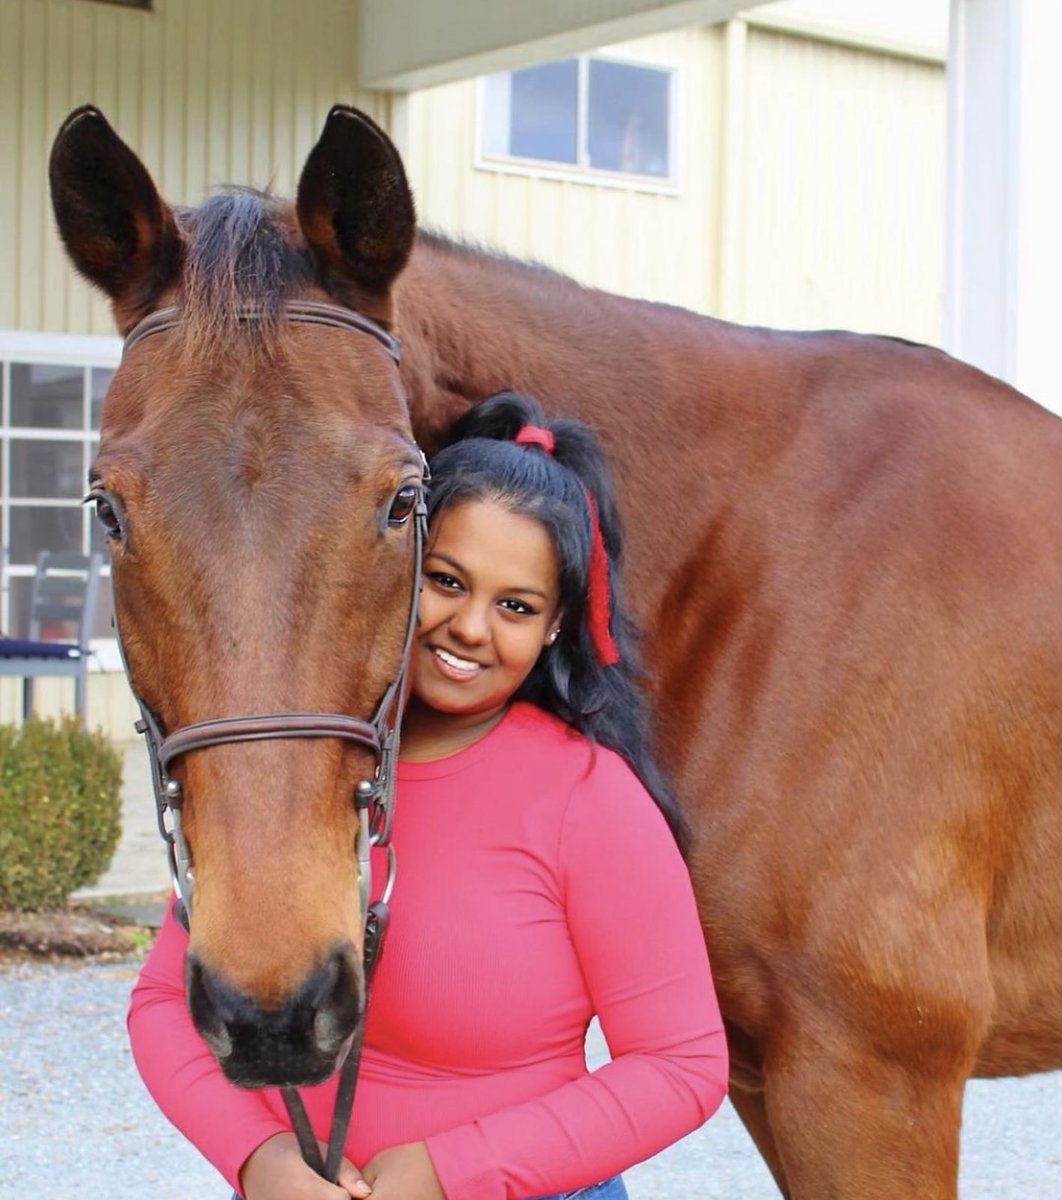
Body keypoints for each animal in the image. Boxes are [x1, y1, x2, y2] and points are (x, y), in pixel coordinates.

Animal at [49, 104, 1061, 1199]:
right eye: (106, 508)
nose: (273, 1009)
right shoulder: (775, 1077)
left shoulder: (874, 1081)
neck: (768, 573)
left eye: (403, 499)